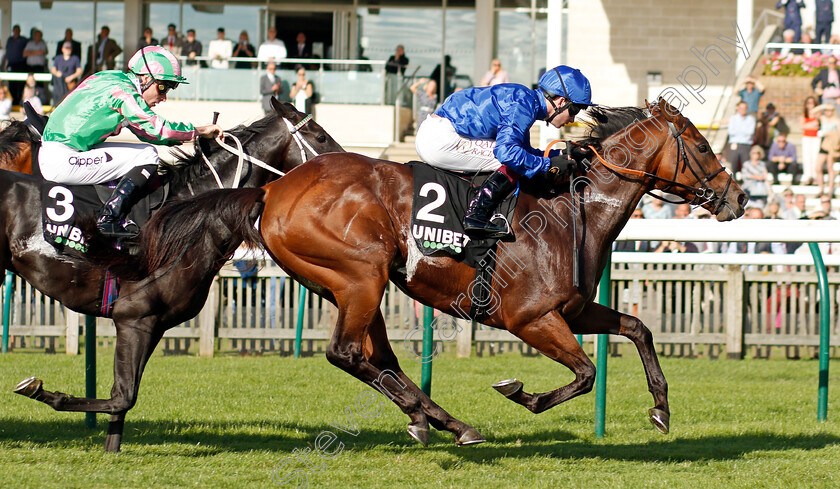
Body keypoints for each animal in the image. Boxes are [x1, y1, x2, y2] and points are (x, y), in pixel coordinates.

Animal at [6, 98, 342, 450]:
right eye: (320, 136)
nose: (345, 164)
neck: (185, 214)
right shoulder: (134, 318)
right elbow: (122, 395)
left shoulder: (151, 323)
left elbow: (121, 398)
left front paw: (111, 447)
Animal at [253, 97, 744, 444]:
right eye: (703, 146)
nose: (739, 199)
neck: (572, 209)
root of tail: (275, 188)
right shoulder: (530, 318)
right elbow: (586, 373)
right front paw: (522, 393)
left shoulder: (573, 310)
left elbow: (638, 328)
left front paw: (661, 409)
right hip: (361, 278)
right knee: (346, 353)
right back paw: (438, 420)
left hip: (349, 286)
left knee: (380, 359)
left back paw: (435, 420)